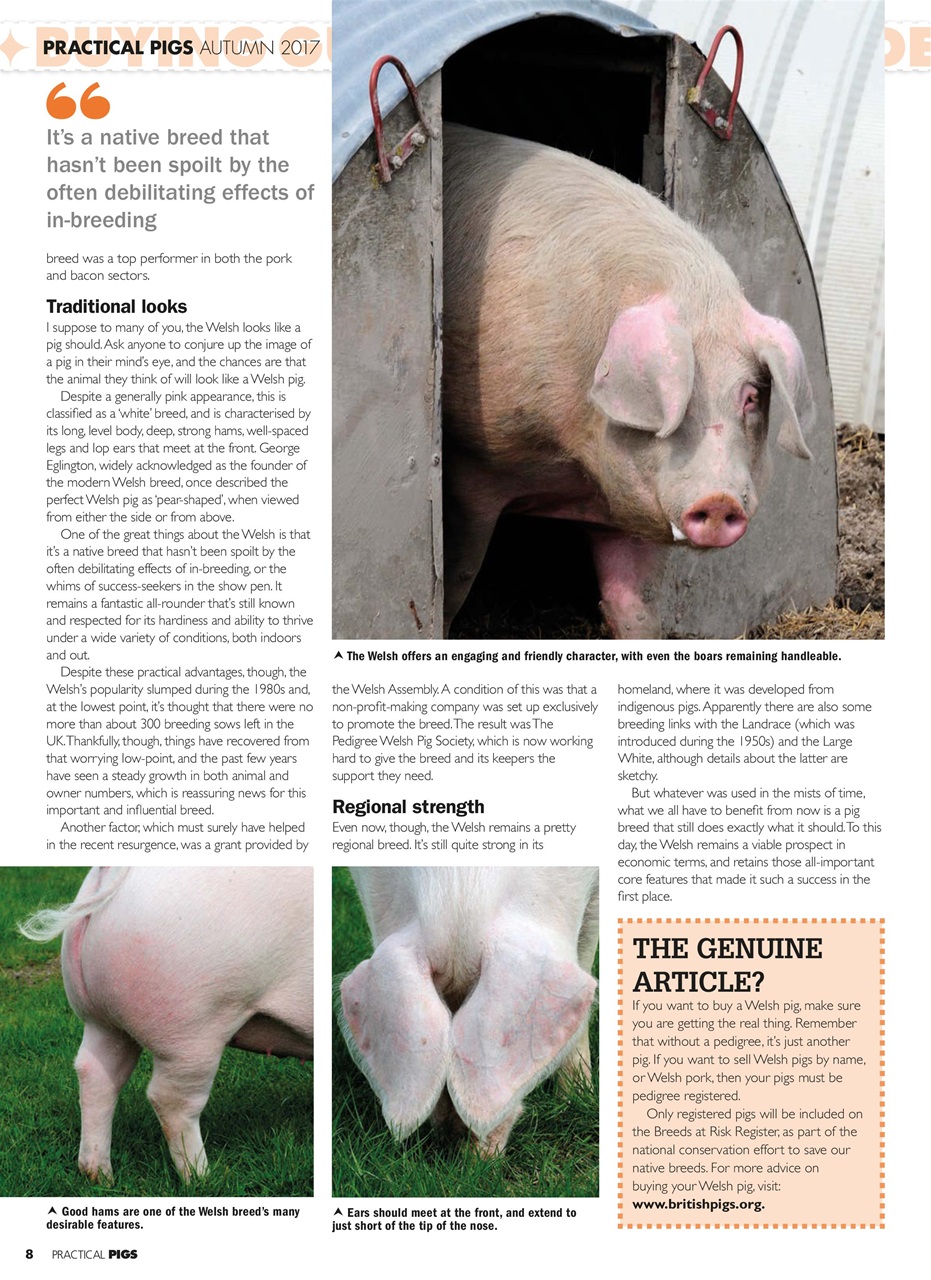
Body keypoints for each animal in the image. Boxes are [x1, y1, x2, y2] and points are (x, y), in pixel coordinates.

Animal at [18, 866, 313, 1181]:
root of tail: (113, 869)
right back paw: (204, 1178)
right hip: (193, 1027)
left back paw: (100, 1177)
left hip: (102, 1019)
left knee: (94, 1074)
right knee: (171, 1101)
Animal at [442, 124, 815, 638]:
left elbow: (633, 608)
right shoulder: (472, 463)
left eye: (751, 397)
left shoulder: (621, 512)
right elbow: (456, 579)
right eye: (678, 398)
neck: (570, 464)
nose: (719, 499)